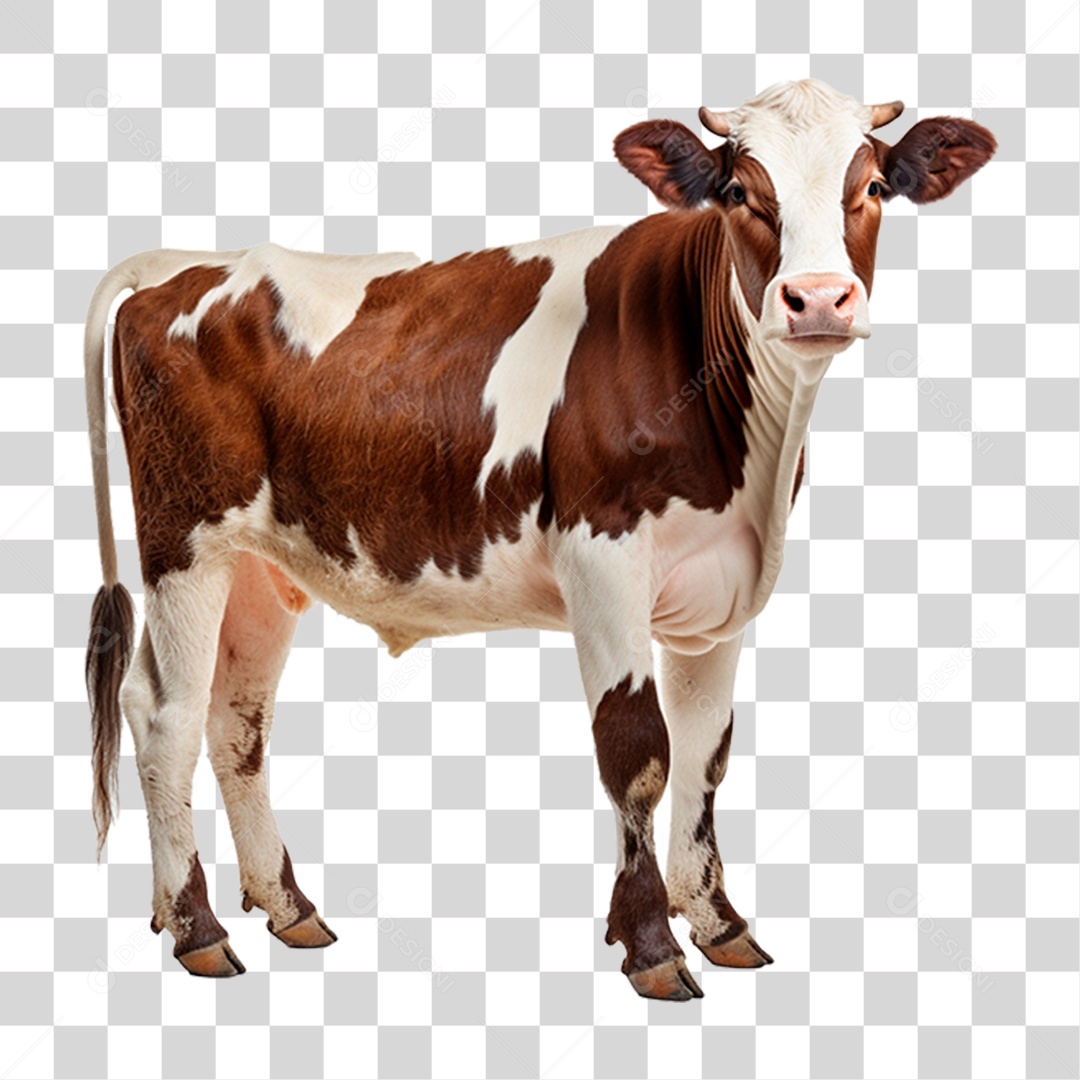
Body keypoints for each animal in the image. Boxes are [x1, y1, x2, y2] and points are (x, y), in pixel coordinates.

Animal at [84, 79, 995, 999]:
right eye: (741, 191)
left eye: (872, 187)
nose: (817, 298)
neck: (749, 463)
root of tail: (179, 264)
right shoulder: (602, 562)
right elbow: (637, 751)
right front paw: (651, 945)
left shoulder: (720, 592)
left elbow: (705, 751)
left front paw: (718, 923)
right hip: (185, 540)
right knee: (167, 716)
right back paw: (197, 928)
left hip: (264, 567)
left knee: (234, 721)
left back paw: (286, 908)